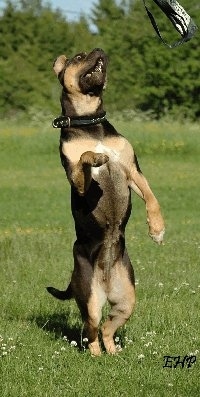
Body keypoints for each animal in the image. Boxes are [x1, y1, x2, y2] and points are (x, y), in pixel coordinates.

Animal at [46, 48, 164, 354]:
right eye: (78, 57)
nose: (98, 50)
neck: (90, 124)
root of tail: (106, 284)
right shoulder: (78, 181)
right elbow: (85, 157)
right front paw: (96, 156)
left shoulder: (133, 171)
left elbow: (152, 197)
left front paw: (157, 229)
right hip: (89, 300)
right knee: (91, 334)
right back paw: (97, 357)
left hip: (126, 300)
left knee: (107, 330)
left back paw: (114, 352)